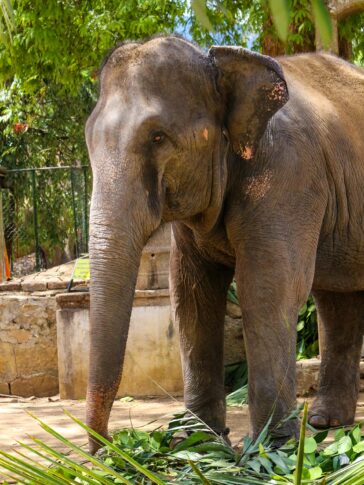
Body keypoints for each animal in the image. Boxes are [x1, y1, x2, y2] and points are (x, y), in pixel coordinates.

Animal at [85, 36, 364, 452]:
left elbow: (267, 288)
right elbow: (191, 295)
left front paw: (269, 448)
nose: (108, 447)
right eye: (88, 138)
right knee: (336, 299)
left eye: (158, 137)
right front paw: (197, 442)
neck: (219, 63)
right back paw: (323, 422)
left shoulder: (291, 174)